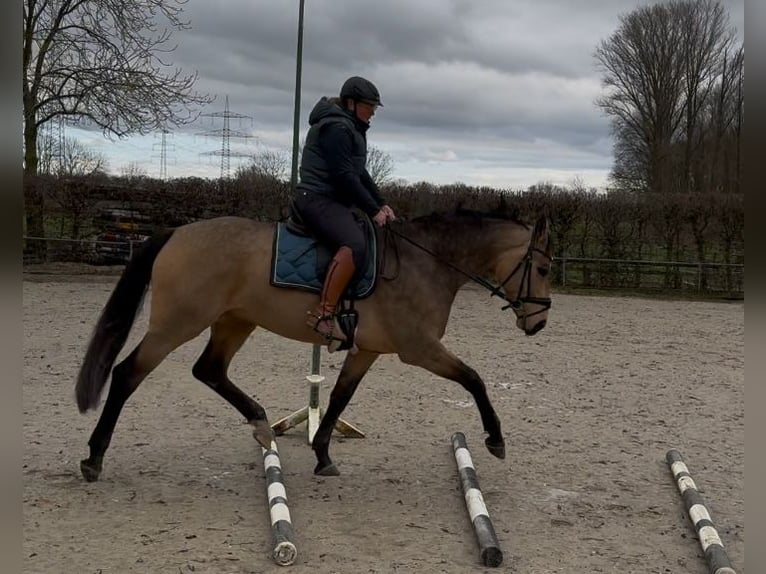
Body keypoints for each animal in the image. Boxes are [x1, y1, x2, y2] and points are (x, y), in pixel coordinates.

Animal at [75, 207, 556, 482]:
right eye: (545, 268)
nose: (540, 322)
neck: (427, 262)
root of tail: (176, 233)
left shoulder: (367, 350)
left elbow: (341, 397)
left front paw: (323, 453)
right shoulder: (419, 349)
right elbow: (475, 380)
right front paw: (495, 439)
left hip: (235, 322)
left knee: (208, 370)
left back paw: (261, 423)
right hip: (178, 324)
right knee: (127, 374)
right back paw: (94, 457)